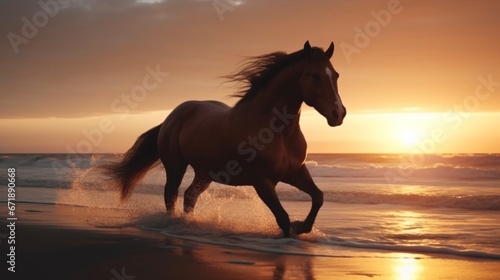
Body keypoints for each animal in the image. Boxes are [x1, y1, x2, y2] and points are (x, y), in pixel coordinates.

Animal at [105, 41, 346, 236]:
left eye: (335, 75)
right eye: (315, 75)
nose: (338, 113)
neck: (275, 131)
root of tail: (171, 116)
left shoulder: (295, 172)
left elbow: (318, 197)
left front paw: (302, 227)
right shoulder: (262, 182)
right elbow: (283, 219)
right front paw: (293, 231)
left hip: (205, 173)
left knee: (189, 195)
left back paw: (189, 224)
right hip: (176, 166)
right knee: (170, 195)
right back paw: (175, 224)